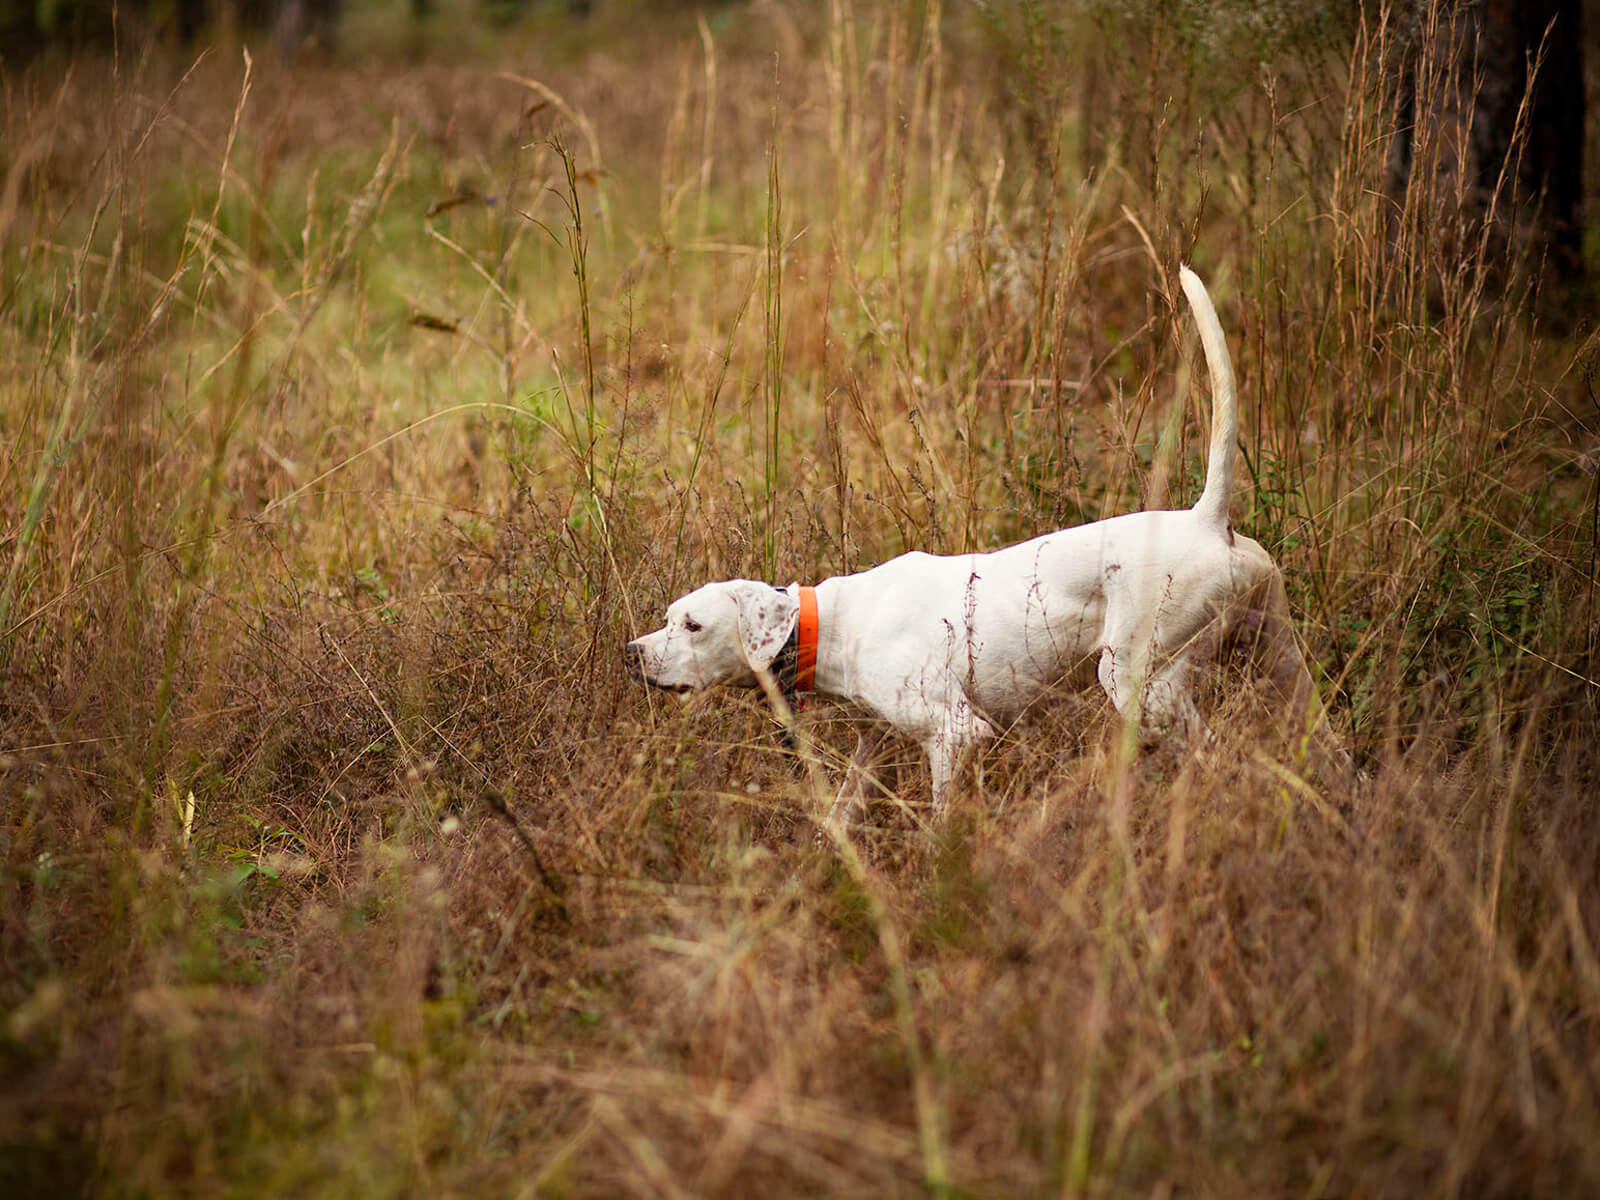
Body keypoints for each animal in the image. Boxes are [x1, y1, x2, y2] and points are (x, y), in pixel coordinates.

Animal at [624, 272, 1350, 832]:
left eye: (692, 624)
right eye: (666, 618)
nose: (633, 653)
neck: (831, 621)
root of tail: (1209, 520)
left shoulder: (955, 735)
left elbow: (941, 820)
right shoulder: (873, 747)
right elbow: (841, 815)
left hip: (1141, 682)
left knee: (1213, 757)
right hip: (1285, 668)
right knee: (1329, 754)